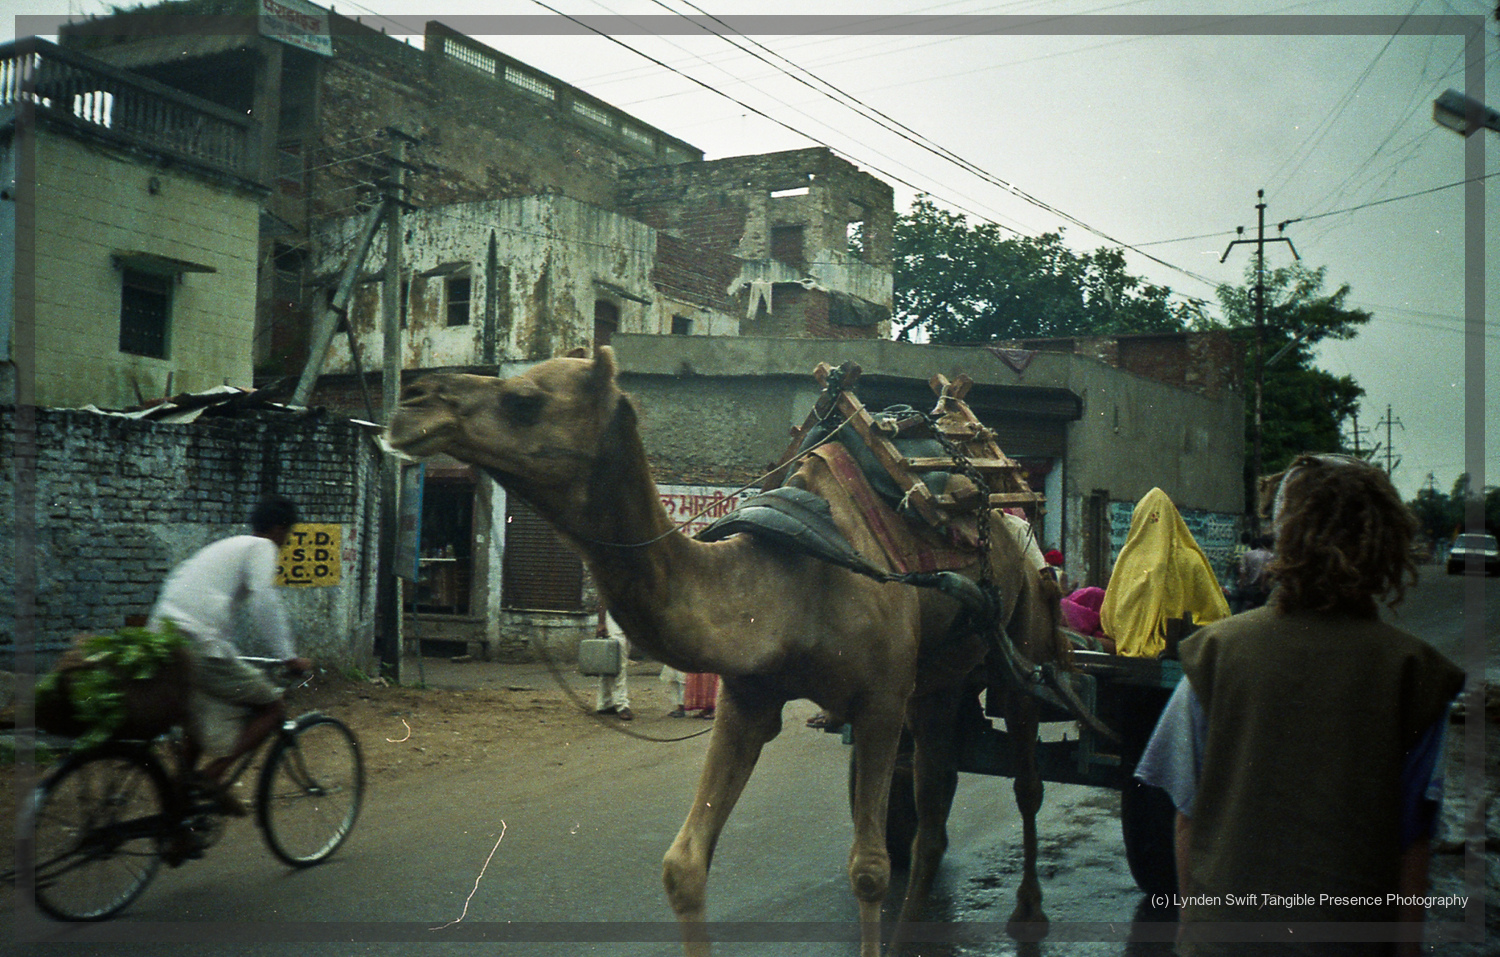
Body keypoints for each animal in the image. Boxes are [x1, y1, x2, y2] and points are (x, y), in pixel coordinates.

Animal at [384, 346, 1075, 955]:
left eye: (525, 399)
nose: (410, 403)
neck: (793, 576)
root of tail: (1012, 511)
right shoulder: (748, 698)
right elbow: (682, 865)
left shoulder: (880, 699)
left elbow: (870, 870)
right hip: (939, 681)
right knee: (934, 813)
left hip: (1023, 645)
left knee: (1025, 781)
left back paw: (1030, 911)